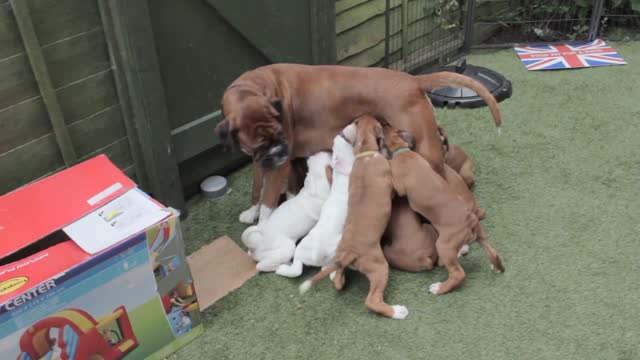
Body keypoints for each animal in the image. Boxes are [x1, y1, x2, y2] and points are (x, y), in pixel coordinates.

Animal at [218, 63, 502, 224]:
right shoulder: (261, 162)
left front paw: (263, 228)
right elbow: (257, 189)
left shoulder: (278, 167)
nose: (280, 150)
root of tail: (412, 80)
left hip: (427, 154)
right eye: (259, 145)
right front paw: (251, 212)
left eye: (279, 134)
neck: (255, 88)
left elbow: (268, 200)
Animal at [276, 132, 356, 278]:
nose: (338, 135)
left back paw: (282, 269)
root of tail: (317, 254)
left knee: (301, 268)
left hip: (304, 251)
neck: (341, 174)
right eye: (334, 147)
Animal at [300, 116, 410, 320]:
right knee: (372, 301)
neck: (365, 152)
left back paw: (339, 279)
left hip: (341, 257)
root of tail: (350, 252)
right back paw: (397, 311)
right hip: (380, 267)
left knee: (337, 281)